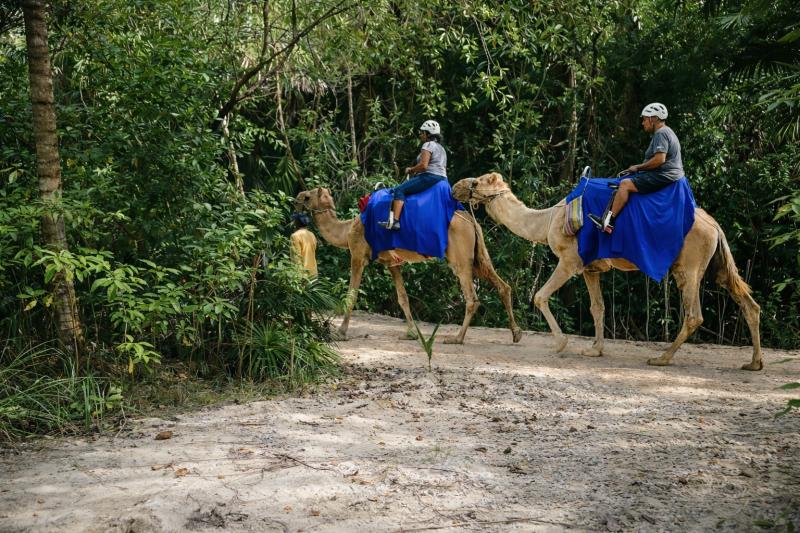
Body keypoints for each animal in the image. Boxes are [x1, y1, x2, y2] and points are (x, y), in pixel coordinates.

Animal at [294, 188, 523, 344]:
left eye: (307, 197)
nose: (296, 198)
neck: (347, 229)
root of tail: (471, 221)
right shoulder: (391, 263)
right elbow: (403, 298)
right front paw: (411, 333)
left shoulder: (358, 255)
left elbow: (352, 294)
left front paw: (341, 332)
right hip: (477, 257)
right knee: (503, 286)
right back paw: (516, 333)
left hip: (460, 258)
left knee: (471, 298)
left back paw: (456, 338)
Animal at [452, 173, 763, 370]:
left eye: (477, 181)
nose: (455, 186)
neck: (548, 220)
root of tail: (715, 226)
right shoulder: (591, 268)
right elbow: (597, 307)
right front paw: (595, 349)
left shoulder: (570, 260)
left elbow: (540, 296)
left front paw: (561, 343)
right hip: (716, 265)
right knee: (748, 303)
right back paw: (753, 363)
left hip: (689, 266)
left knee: (694, 314)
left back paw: (661, 359)